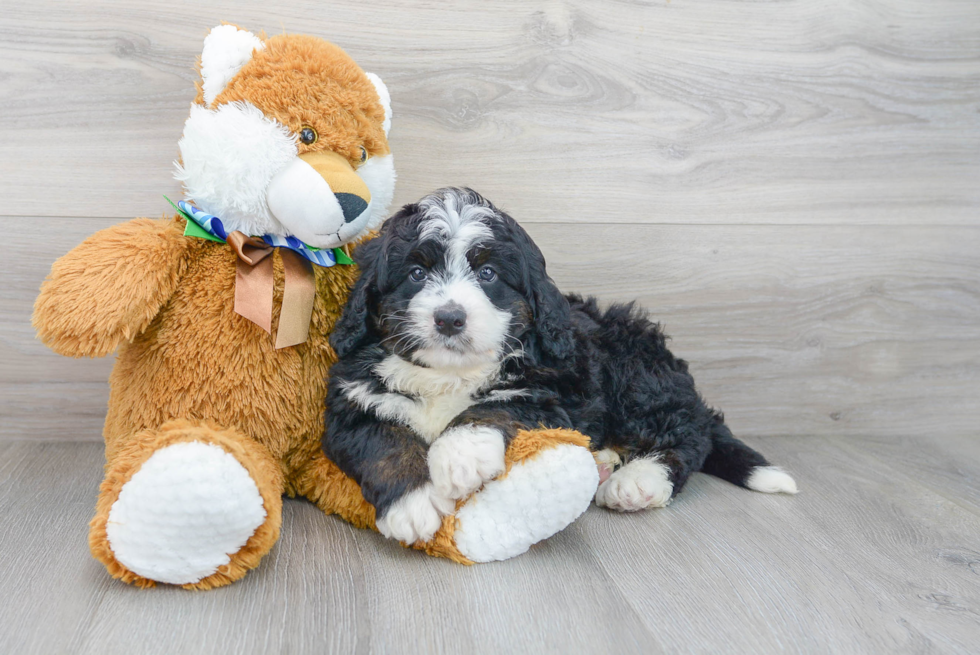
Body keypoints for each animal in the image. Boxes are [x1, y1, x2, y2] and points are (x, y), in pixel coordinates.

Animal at [324, 188, 796, 544]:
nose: (450, 318)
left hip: (635, 374)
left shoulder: (549, 392)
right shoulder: (351, 404)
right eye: (417, 274)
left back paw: (638, 480)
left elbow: (494, 406)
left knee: (687, 433)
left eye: (489, 273)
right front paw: (414, 503)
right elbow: (382, 443)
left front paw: (461, 455)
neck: (447, 374)